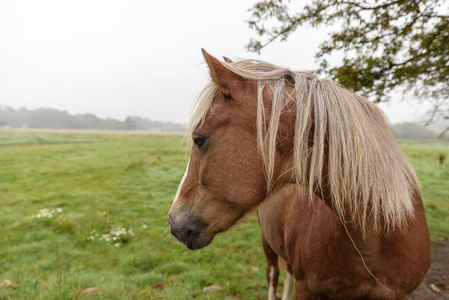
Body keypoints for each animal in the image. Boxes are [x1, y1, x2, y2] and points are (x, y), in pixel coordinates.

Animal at [168, 48, 430, 298]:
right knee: (273, 278)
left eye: (198, 139)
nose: (173, 221)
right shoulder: (307, 289)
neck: (373, 241)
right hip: (268, 246)